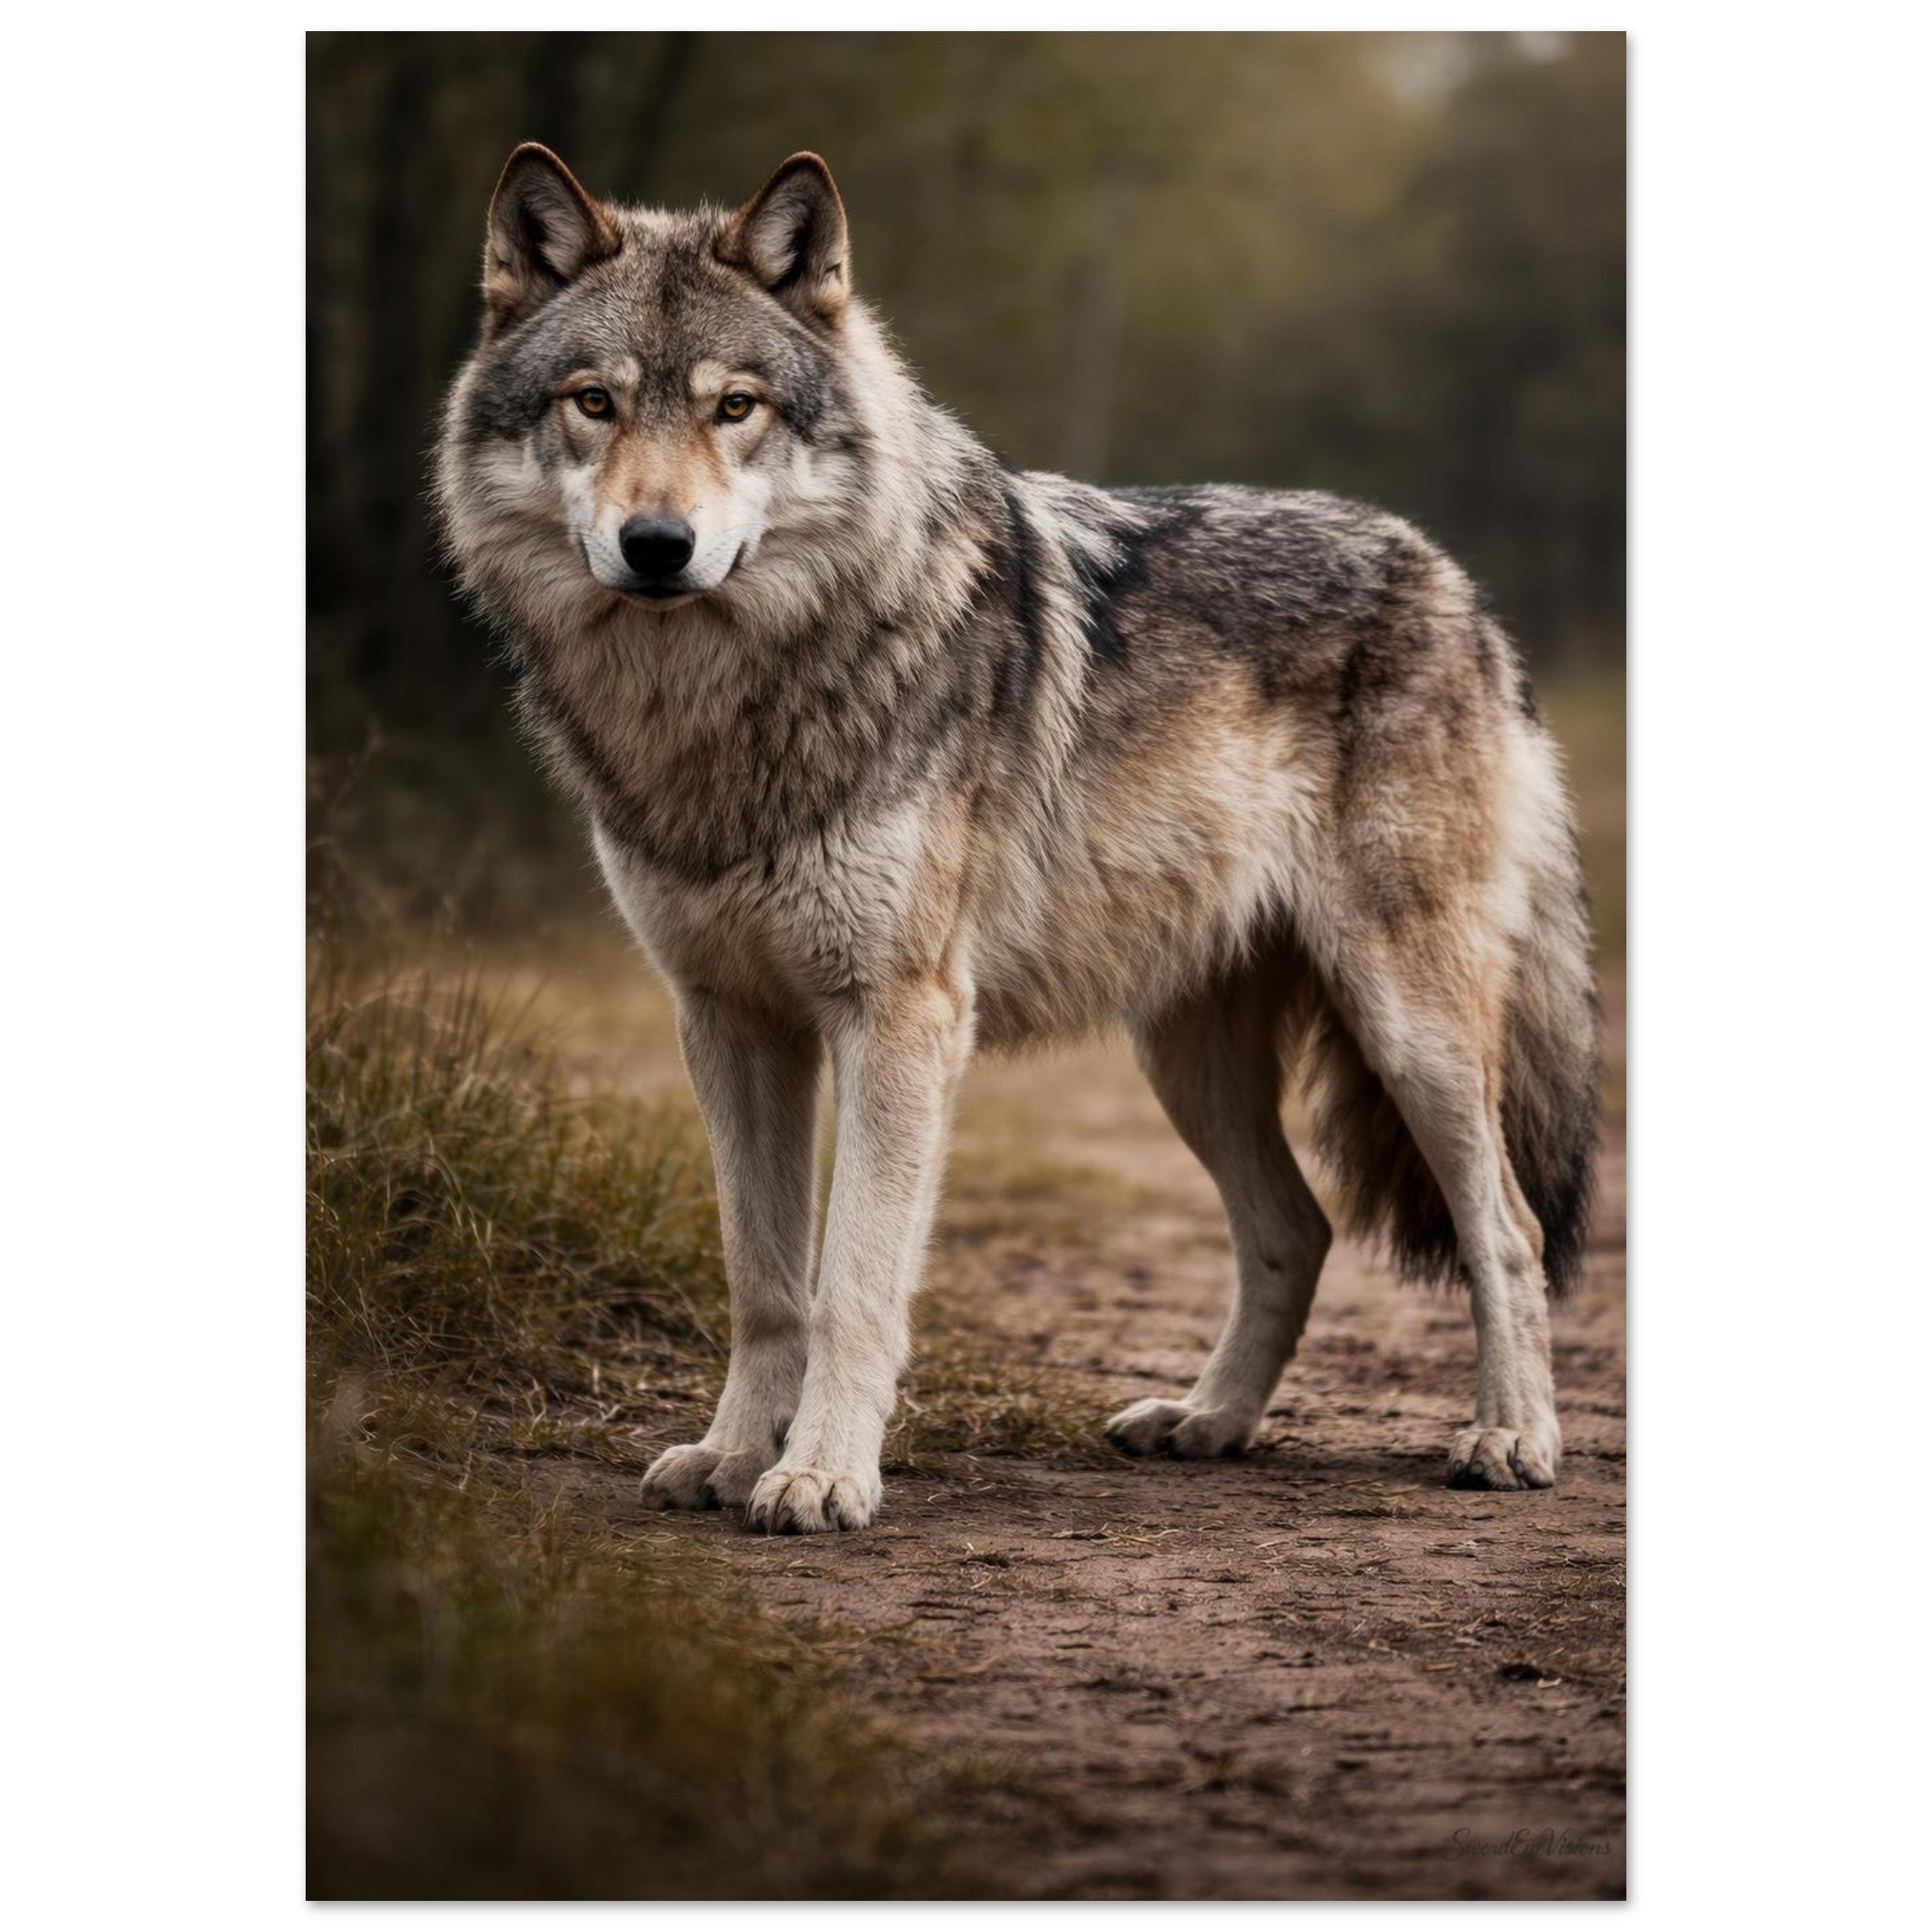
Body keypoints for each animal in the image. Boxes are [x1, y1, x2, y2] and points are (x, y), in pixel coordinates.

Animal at [435, 145, 1598, 1534]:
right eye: (595, 403)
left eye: (736, 409)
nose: (657, 546)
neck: (724, 706)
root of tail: (1456, 583)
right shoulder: (726, 1019)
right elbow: (763, 1282)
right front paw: (726, 1456)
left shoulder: (901, 1018)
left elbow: (851, 1284)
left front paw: (819, 1475)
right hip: (1186, 1058)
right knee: (1296, 1229)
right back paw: (1207, 1421)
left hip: (1408, 1028)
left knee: (1508, 1230)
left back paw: (1510, 1437)